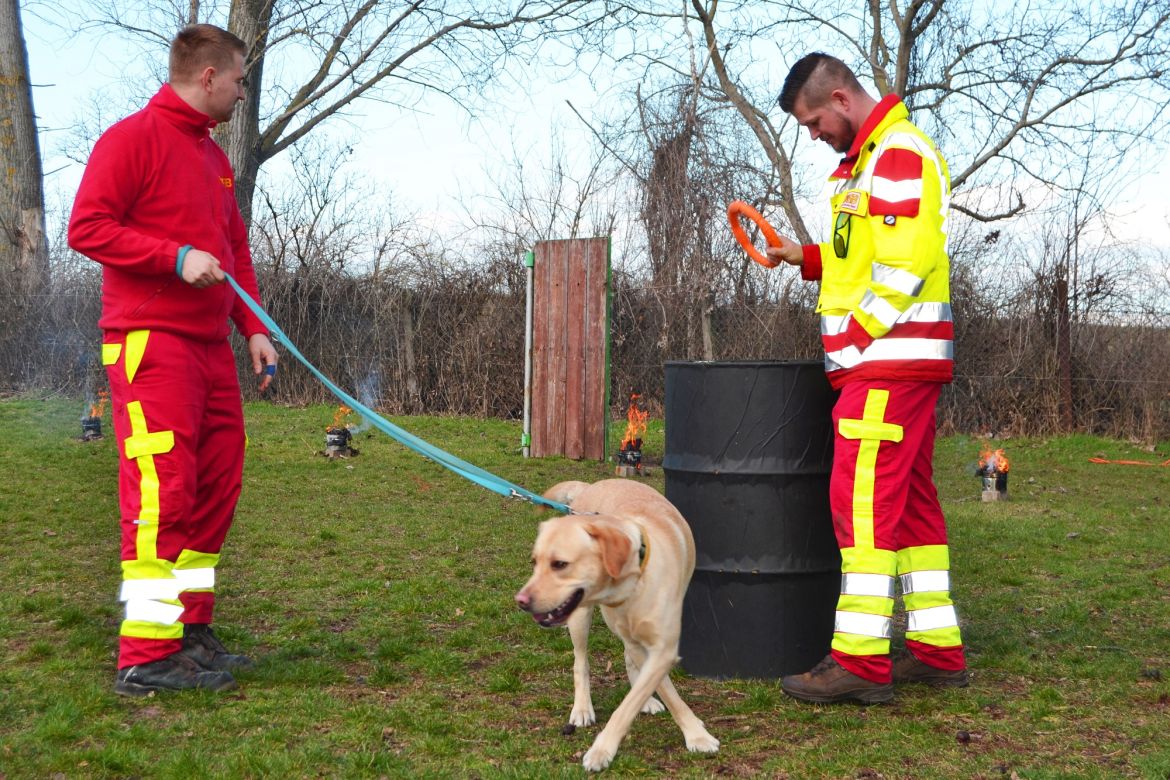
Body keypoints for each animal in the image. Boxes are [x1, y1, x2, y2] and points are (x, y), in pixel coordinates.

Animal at [514, 479, 716, 771]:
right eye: (534, 562)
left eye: (560, 564)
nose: (520, 601)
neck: (632, 584)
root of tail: (589, 486)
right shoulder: (647, 648)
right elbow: (654, 695)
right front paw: (602, 750)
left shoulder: (662, 649)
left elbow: (639, 698)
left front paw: (696, 734)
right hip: (579, 618)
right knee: (581, 662)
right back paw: (582, 708)